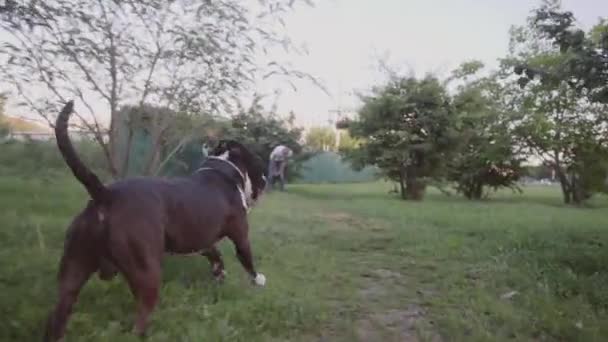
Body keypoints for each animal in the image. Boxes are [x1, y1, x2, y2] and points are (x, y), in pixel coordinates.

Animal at [44, 100, 268, 340]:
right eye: (258, 164)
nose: (266, 179)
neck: (222, 171)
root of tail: (105, 194)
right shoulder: (241, 236)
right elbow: (247, 260)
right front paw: (258, 280)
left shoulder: (202, 239)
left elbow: (215, 256)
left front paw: (220, 275)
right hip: (147, 274)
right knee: (140, 318)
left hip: (72, 272)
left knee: (59, 313)